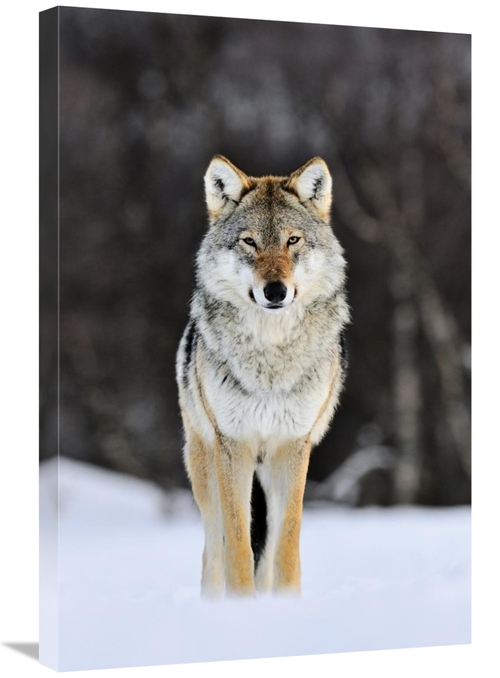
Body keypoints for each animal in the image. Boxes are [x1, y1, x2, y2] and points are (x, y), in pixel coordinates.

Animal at [176, 155, 349, 597]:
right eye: (250, 242)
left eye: (292, 241)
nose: (275, 290)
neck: (270, 363)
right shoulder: (233, 446)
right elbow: (237, 546)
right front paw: (241, 606)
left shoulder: (293, 447)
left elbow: (286, 546)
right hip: (205, 468)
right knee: (213, 549)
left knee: (267, 553)